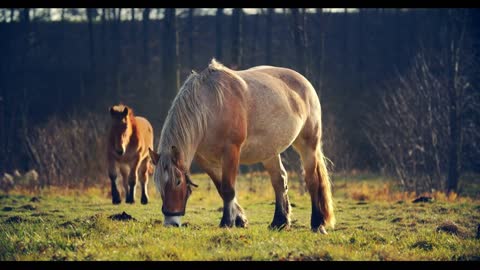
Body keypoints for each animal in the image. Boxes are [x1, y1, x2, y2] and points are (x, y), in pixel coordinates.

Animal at [148, 59, 336, 234]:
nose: (171, 222)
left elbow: (228, 188)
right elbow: (221, 188)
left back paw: (317, 224)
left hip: (308, 144)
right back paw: (279, 222)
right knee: (279, 180)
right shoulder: (206, 161)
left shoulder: (231, 152)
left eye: (178, 181)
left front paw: (226, 222)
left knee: (312, 180)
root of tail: (304, 83)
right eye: (158, 184)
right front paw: (239, 219)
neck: (210, 107)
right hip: (270, 152)